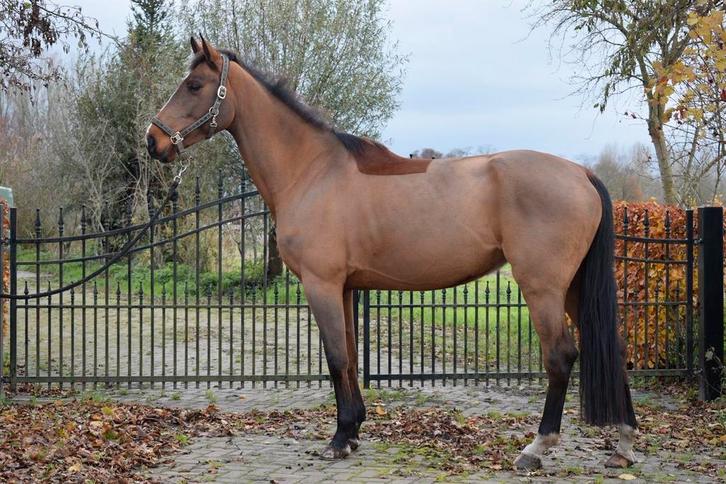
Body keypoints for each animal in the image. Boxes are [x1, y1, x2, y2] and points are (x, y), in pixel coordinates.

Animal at [146, 36, 638, 470]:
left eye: (195, 85)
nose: (154, 141)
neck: (312, 172)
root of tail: (581, 172)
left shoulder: (321, 285)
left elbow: (336, 357)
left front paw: (339, 438)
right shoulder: (344, 288)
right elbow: (348, 352)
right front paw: (353, 429)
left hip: (542, 288)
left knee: (560, 357)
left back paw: (536, 448)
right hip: (573, 288)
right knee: (610, 346)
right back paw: (624, 445)